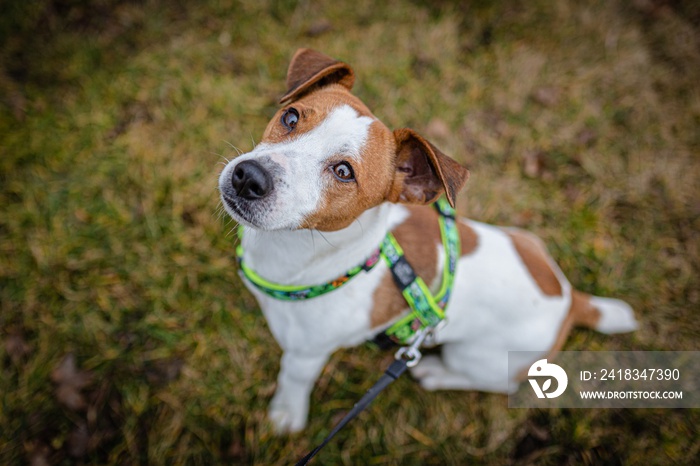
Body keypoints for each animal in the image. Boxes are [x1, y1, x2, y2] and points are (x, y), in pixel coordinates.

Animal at [219, 48, 640, 434]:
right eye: (290, 117)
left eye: (343, 172)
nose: (248, 176)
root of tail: (571, 299)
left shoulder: (307, 353)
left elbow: (293, 377)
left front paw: (285, 415)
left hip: (479, 356)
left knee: (495, 381)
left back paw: (436, 373)